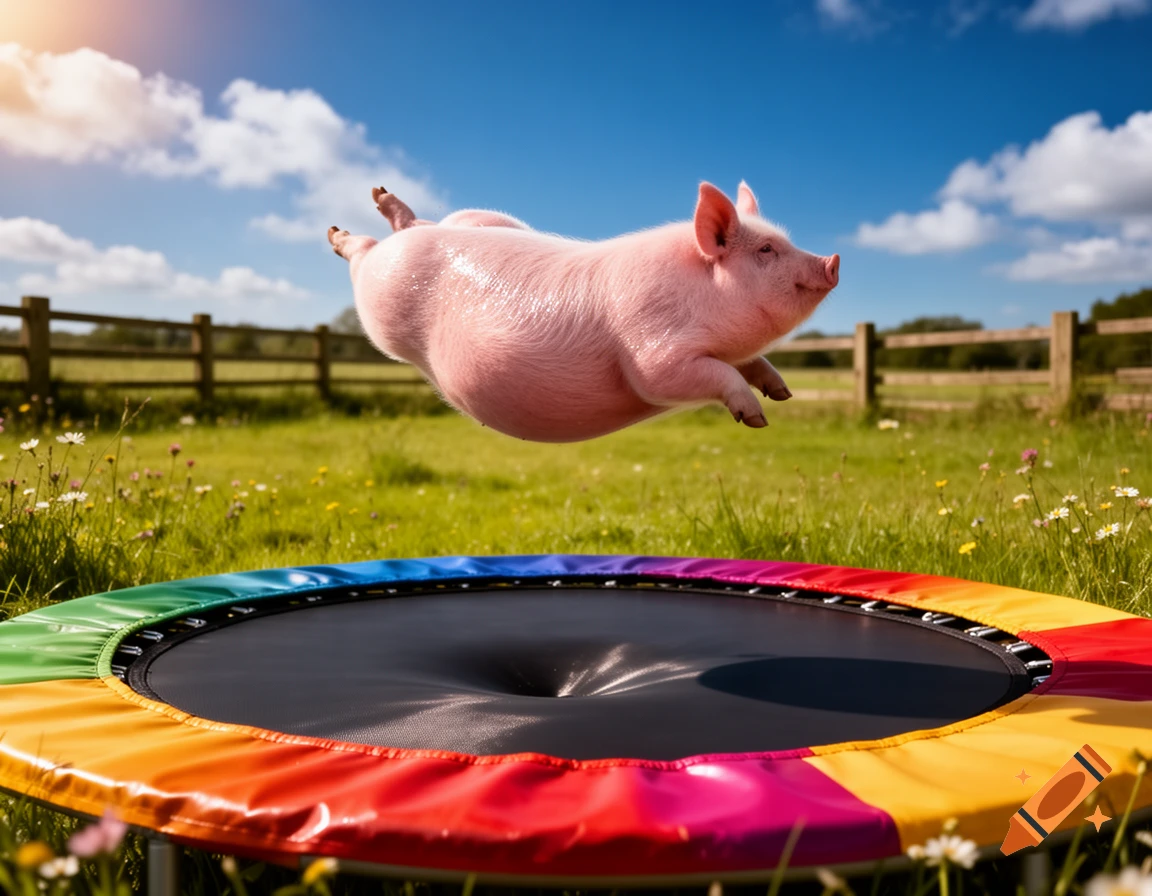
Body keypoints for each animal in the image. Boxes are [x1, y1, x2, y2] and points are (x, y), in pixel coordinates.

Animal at [328, 182, 839, 443]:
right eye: (767, 250)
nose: (832, 260)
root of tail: (418, 238)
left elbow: (752, 361)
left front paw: (783, 394)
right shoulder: (652, 350)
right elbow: (691, 375)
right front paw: (757, 418)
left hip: (464, 221)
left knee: (411, 219)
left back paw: (380, 197)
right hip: (381, 290)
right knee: (364, 253)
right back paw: (340, 231)